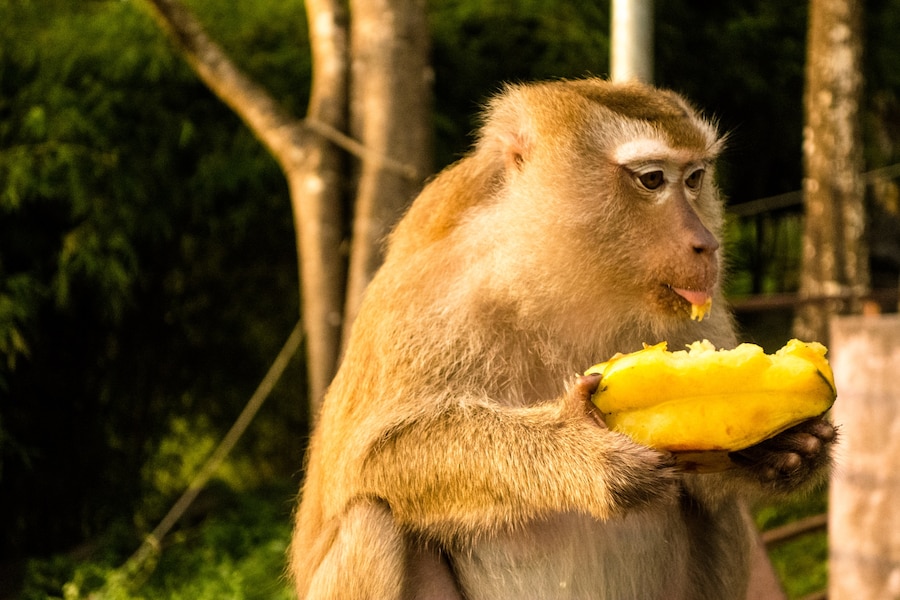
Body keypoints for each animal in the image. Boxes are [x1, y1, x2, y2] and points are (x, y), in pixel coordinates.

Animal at [290, 79, 836, 600]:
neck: (551, 275)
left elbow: (710, 479)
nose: (707, 244)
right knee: (372, 517)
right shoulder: (433, 292)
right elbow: (379, 453)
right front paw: (584, 452)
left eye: (695, 178)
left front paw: (787, 450)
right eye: (652, 179)